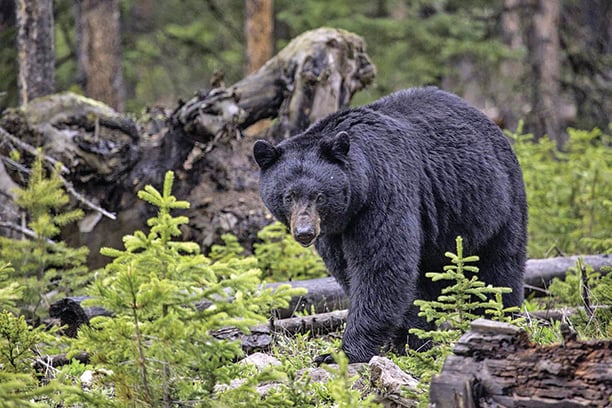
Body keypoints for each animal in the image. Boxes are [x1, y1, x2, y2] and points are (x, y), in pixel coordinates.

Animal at [252, 87, 524, 364]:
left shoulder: (384, 192)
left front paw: (343, 353)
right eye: (288, 196)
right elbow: (350, 269)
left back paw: (498, 317)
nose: (305, 233)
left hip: (495, 204)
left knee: (499, 269)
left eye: (319, 196)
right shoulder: (335, 231)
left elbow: (381, 266)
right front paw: (409, 338)